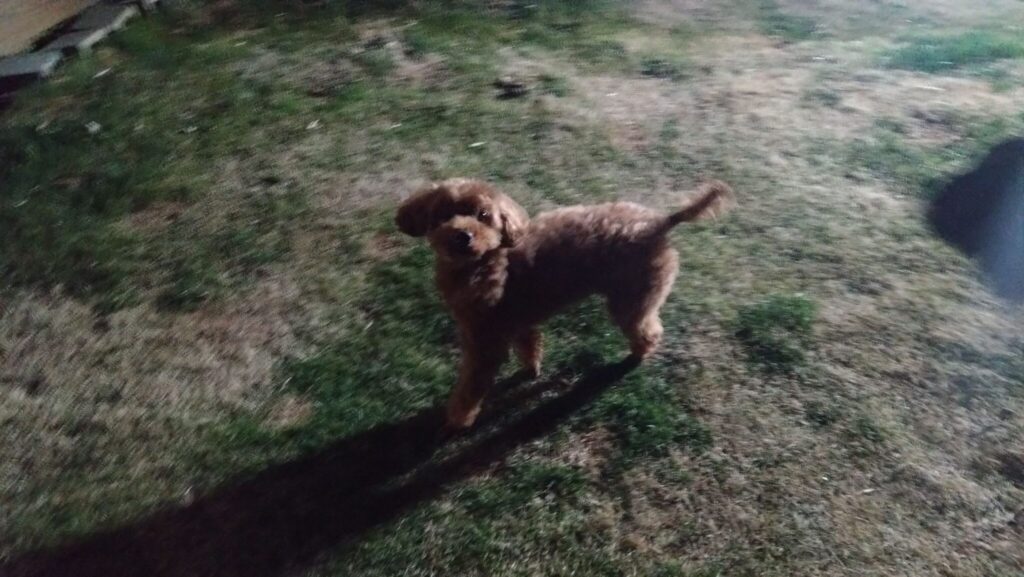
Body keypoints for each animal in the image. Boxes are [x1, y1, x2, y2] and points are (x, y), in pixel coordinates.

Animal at [396, 178, 734, 429]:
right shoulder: (517, 320)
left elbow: (470, 387)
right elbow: (529, 348)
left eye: (483, 216)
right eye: (443, 215)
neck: (485, 261)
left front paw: (456, 420)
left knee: (648, 330)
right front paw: (531, 371)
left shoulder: (485, 343)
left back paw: (637, 355)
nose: (462, 236)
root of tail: (661, 223)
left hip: (631, 299)